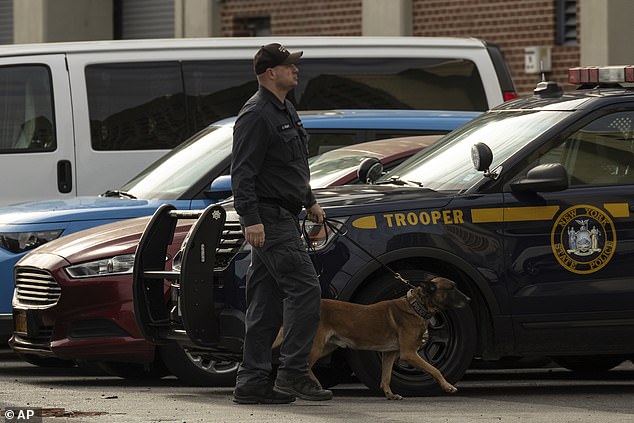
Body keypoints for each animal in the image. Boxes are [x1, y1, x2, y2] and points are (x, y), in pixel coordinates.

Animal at [274, 276, 466, 400]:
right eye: (452, 288)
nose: (469, 299)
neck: (416, 306)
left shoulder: (390, 354)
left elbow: (386, 377)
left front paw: (389, 394)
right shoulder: (409, 353)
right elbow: (435, 369)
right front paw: (448, 386)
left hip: (327, 347)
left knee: (305, 365)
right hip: (317, 346)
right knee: (304, 365)